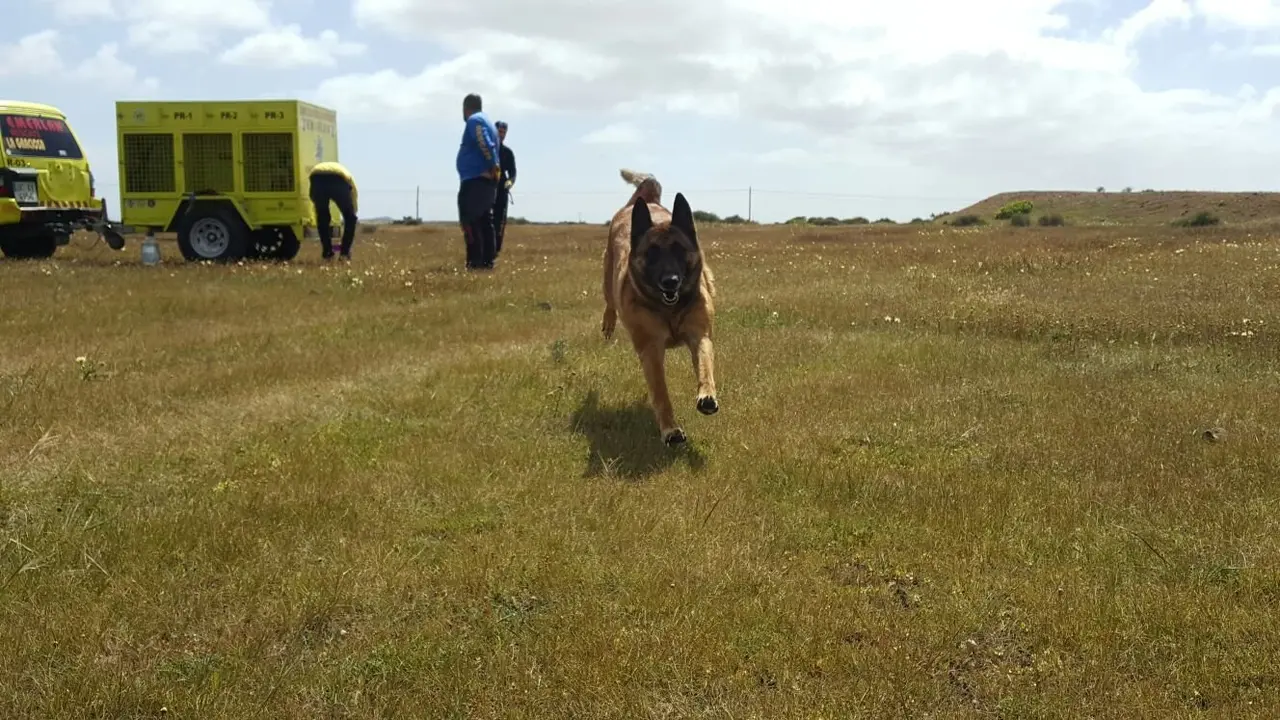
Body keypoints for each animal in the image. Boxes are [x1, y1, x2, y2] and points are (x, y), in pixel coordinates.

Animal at [601, 167, 721, 443]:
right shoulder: (651, 350)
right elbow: (661, 394)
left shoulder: (700, 335)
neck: (670, 310)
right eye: (652, 252)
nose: (670, 281)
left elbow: (705, 367)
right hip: (607, 277)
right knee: (609, 302)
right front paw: (670, 430)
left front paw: (707, 396)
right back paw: (608, 323)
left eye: (679, 249)